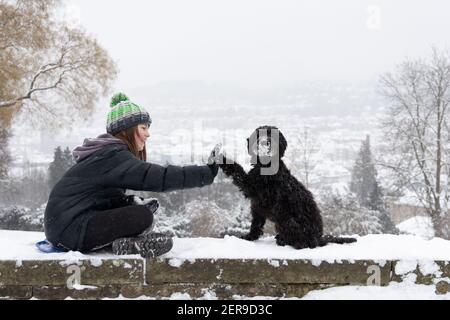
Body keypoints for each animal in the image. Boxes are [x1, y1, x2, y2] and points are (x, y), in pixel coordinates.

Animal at [220, 125, 356, 250]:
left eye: (272, 134)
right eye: (259, 134)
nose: (265, 142)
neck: (266, 165)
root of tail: (318, 238)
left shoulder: (250, 186)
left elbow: (236, 170)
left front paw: (220, 157)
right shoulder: (257, 206)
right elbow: (256, 224)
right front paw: (249, 237)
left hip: (288, 219)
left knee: (303, 243)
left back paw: (285, 241)